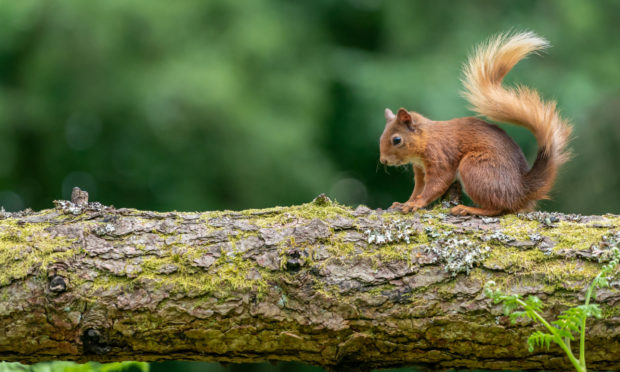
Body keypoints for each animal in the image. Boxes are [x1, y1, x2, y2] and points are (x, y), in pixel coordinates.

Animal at [380, 33, 572, 218]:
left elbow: (437, 184)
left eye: (396, 140)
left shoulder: (440, 156)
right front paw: (405, 202)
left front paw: (417, 204)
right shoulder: (420, 170)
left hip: (475, 168)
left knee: (498, 208)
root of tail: (520, 191)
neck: (427, 137)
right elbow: (418, 189)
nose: (383, 160)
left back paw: (467, 209)